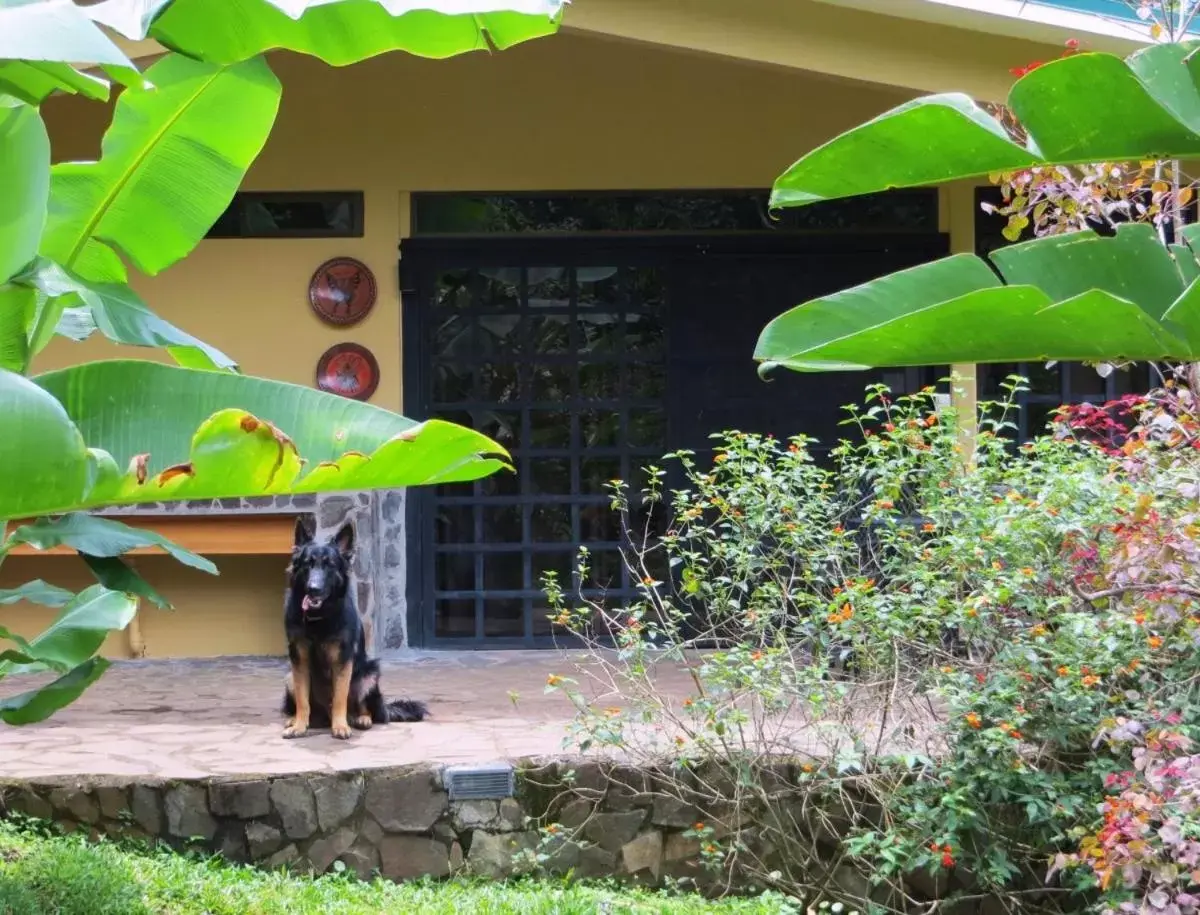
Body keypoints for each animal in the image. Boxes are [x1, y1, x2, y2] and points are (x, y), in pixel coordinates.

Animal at [282, 516, 429, 739]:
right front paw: (299, 725)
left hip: (370, 673)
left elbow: (340, 696)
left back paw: (360, 719)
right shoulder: (299, 658)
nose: (313, 589)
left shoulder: (343, 659)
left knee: (367, 709)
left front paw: (340, 726)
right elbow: (302, 699)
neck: (319, 618)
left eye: (330, 566)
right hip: (289, 676)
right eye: (308, 565)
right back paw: (300, 720)